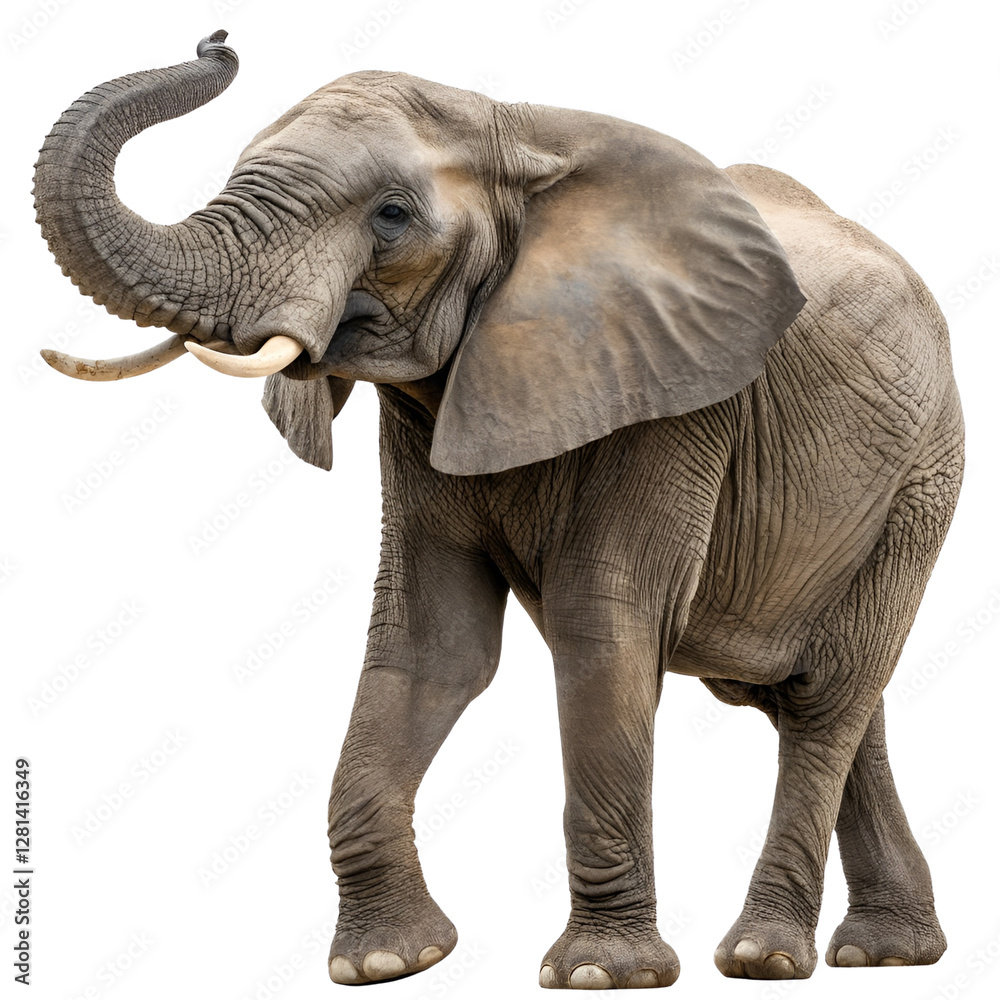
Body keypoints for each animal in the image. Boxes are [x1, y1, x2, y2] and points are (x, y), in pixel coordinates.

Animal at [34, 31, 963, 990]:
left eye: (392, 216)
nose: (215, 40)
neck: (519, 133)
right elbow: (432, 641)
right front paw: (387, 962)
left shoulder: (679, 398)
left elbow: (604, 628)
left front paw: (600, 975)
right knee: (822, 691)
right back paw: (886, 953)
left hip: (921, 481)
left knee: (825, 695)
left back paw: (763, 956)